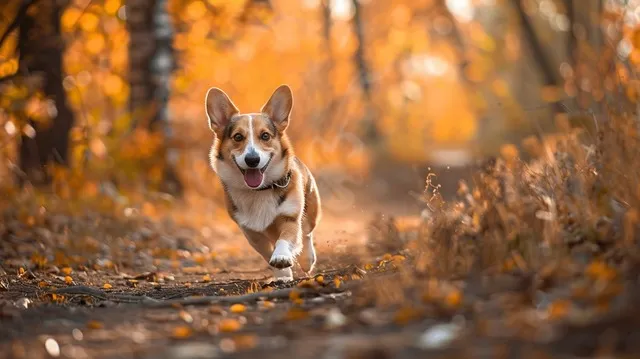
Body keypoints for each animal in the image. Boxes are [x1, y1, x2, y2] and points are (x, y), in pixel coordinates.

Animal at [205, 84, 322, 282]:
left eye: (265, 136)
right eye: (238, 137)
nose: (252, 160)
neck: (260, 190)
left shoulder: (289, 217)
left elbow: (285, 239)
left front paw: (282, 257)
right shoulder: (250, 231)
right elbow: (267, 253)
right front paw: (283, 273)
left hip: (311, 209)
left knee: (306, 233)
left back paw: (307, 259)